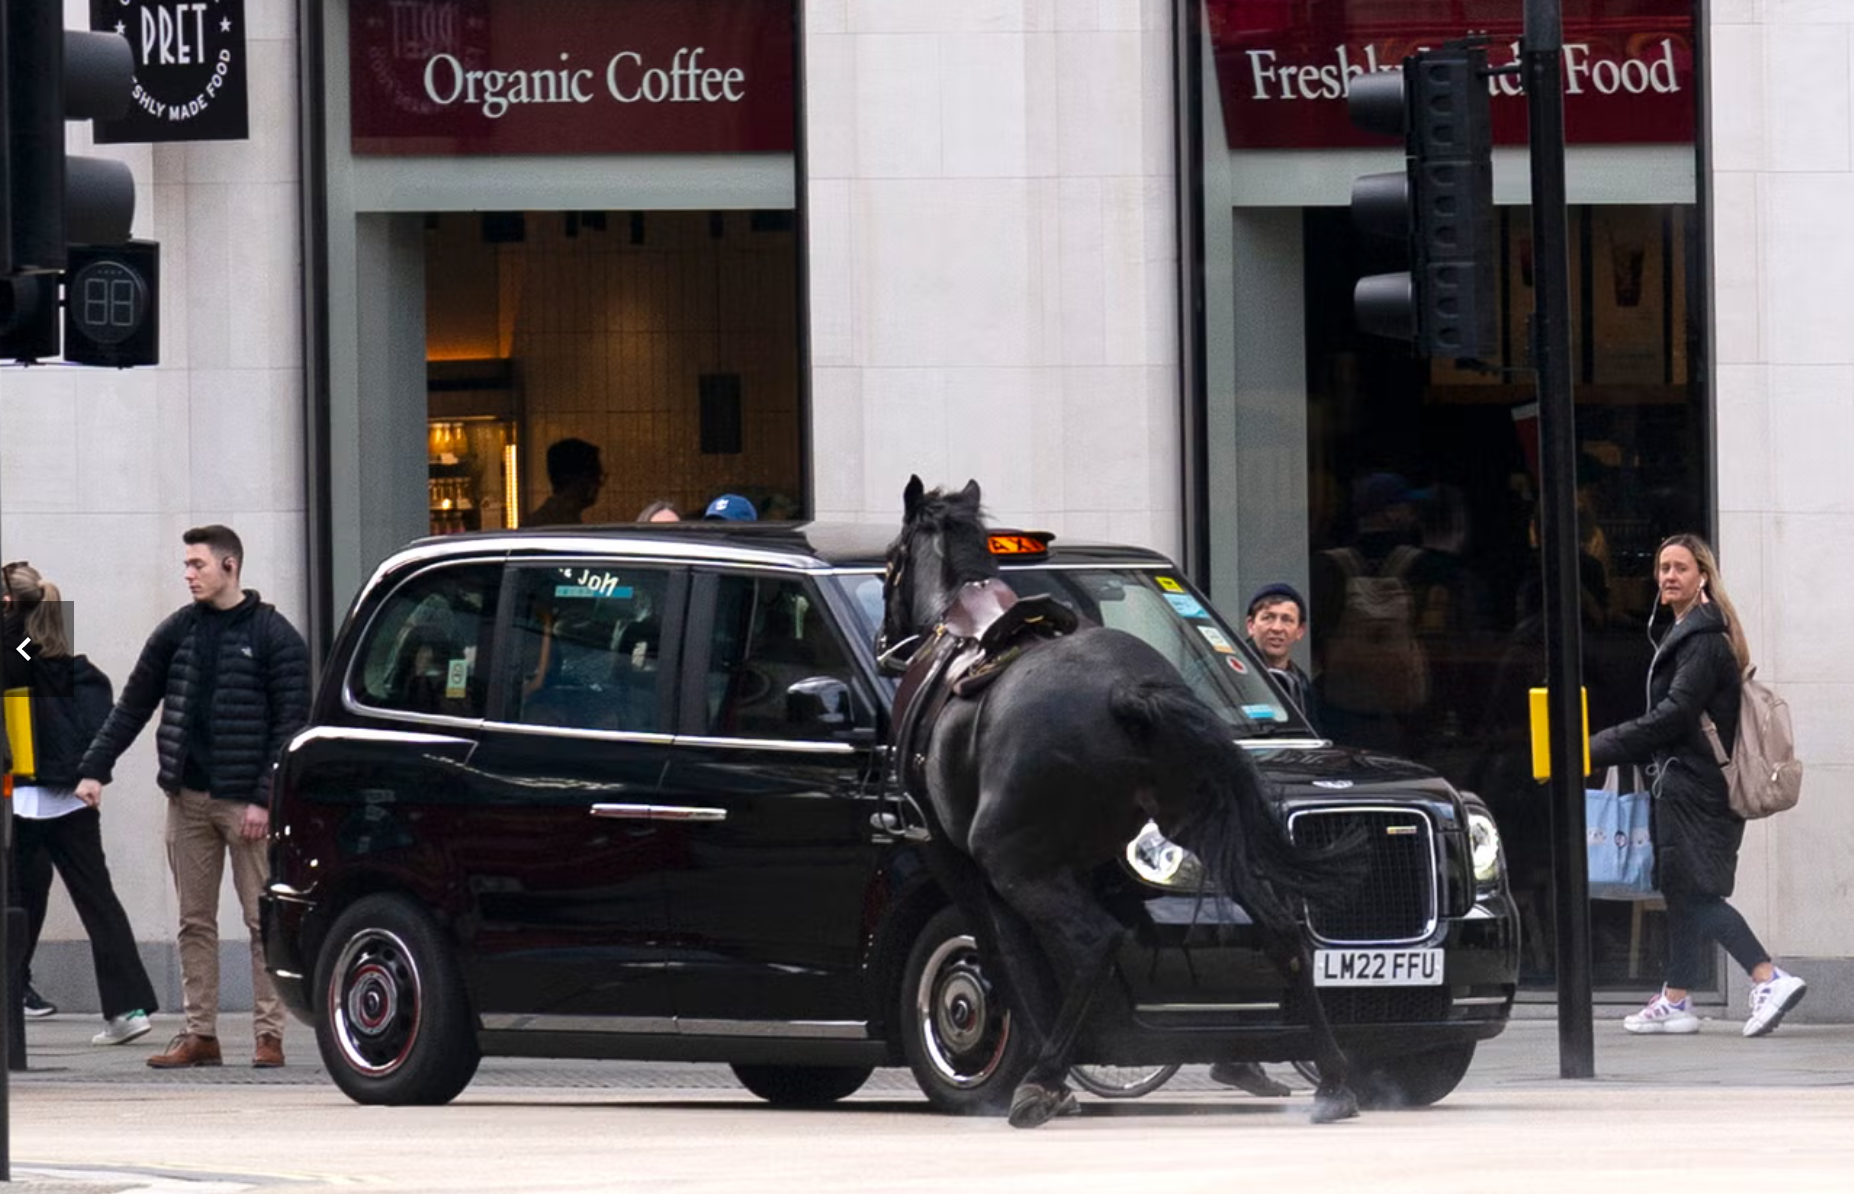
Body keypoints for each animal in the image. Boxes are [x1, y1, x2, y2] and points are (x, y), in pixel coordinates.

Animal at [875, 478, 1371, 1127]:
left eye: (890, 559)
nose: (884, 641)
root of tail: (1125, 690)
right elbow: (1033, 961)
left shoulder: (953, 858)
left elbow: (1006, 956)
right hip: (1203, 831)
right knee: (1283, 930)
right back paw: (1334, 1080)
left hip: (1011, 860)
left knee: (1092, 942)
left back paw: (1041, 1082)